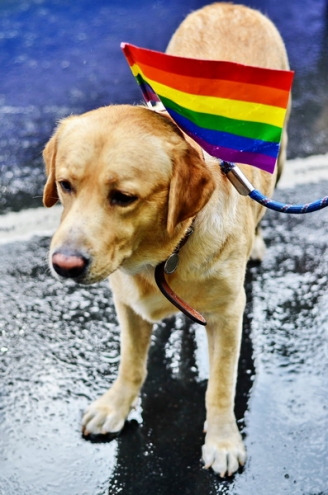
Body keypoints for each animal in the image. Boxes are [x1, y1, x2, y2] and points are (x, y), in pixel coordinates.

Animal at [41, 2, 290, 476]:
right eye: (65, 185)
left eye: (123, 197)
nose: (64, 265)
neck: (161, 255)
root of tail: (229, 6)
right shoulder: (126, 306)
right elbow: (131, 365)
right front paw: (116, 406)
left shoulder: (228, 315)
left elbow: (221, 385)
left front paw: (223, 440)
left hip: (280, 156)